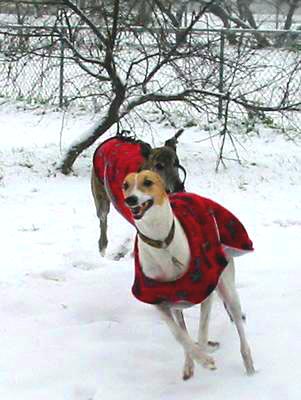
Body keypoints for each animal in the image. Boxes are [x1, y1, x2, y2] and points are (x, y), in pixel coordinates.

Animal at [121, 170, 253, 380]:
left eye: (147, 182)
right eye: (125, 185)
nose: (130, 200)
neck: (163, 244)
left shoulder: (207, 288)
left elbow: (202, 331)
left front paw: (206, 357)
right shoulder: (159, 301)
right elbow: (179, 335)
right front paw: (201, 359)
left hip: (228, 288)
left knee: (239, 326)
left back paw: (249, 368)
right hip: (177, 304)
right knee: (183, 328)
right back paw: (190, 364)